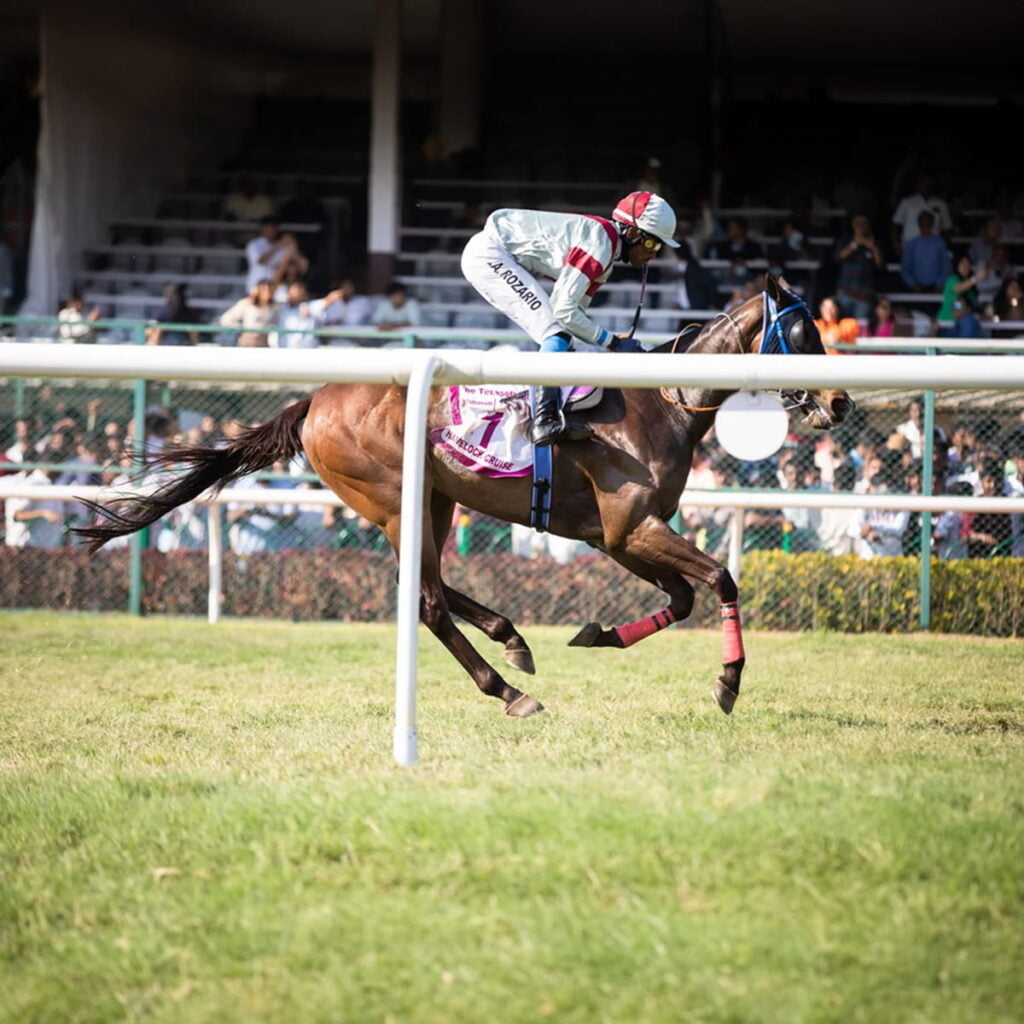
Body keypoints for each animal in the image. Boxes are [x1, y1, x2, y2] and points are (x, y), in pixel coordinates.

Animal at [77, 276, 847, 716]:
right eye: (800, 333)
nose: (840, 401)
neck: (659, 401)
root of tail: (313, 399)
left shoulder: (617, 535)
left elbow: (684, 596)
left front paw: (598, 634)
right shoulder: (630, 528)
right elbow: (719, 578)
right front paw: (728, 683)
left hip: (434, 499)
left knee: (431, 587)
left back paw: (513, 641)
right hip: (395, 499)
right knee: (425, 602)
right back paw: (509, 691)